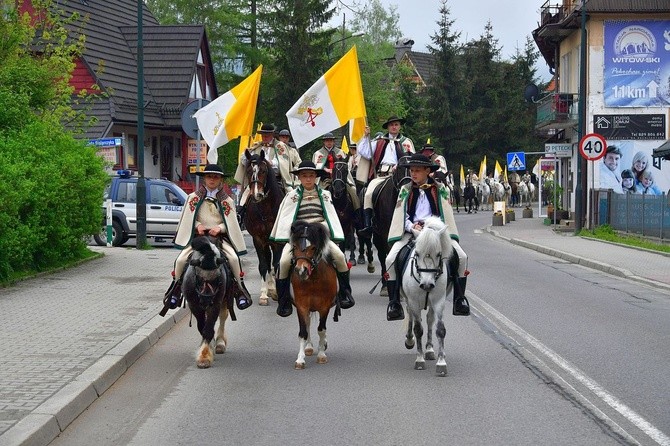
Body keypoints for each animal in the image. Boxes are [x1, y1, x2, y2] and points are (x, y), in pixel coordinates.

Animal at [244, 150, 286, 306]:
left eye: (263, 170)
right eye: (248, 171)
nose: (257, 194)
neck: (266, 209)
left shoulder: (278, 241)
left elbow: (277, 264)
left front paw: (278, 293)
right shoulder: (258, 240)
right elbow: (263, 265)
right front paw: (264, 295)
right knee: (268, 264)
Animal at [290, 220, 338, 370]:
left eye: (313, 248)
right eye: (294, 246)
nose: (301, 271)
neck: (313, 279)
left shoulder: (324, 307)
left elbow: (321, 329)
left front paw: (322, 355)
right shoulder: (301, 306)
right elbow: (303, 332)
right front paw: (300, 359)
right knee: (308, 324)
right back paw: (309, 347)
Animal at [402, 216, 454, 376]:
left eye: (438, 254)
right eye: (417, 253)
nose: (427, 285)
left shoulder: (439, 301)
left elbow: (440, 329)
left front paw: (441, 363)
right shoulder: (413, 301)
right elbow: (418, 329)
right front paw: (419, 360)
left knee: (430, 319)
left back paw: (430, 349)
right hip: (409, 300)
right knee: (411, 316)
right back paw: (409, 340)